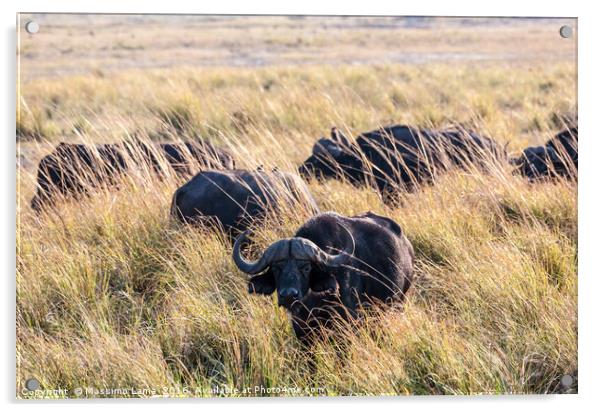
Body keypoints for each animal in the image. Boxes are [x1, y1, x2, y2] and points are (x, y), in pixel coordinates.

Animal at [232, 211, 414, 342]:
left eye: (306, 267)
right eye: (276, 268)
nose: (289, 295)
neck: (314, 302)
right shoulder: (302, 331)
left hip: (398, 302)